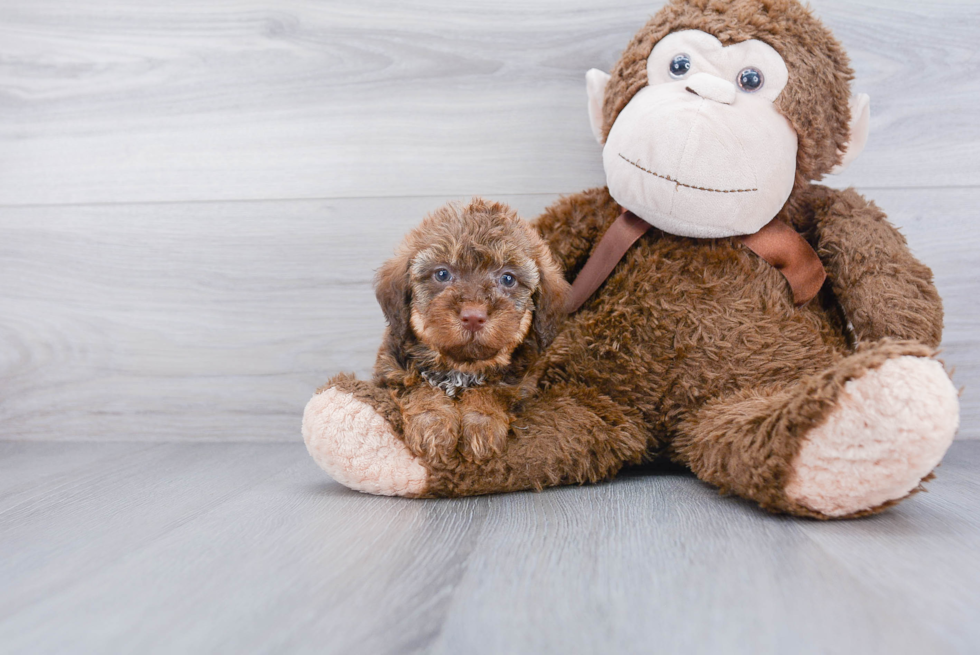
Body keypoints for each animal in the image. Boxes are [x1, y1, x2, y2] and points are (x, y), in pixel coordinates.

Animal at [372, 197, 572, 464]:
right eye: (442, 274)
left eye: (508, 279)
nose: (474, 317)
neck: (461, 368)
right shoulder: (390, 370)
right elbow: (417, 386)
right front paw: (432, 424)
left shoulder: (521, 383)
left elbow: (493, 391)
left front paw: (481, 425)